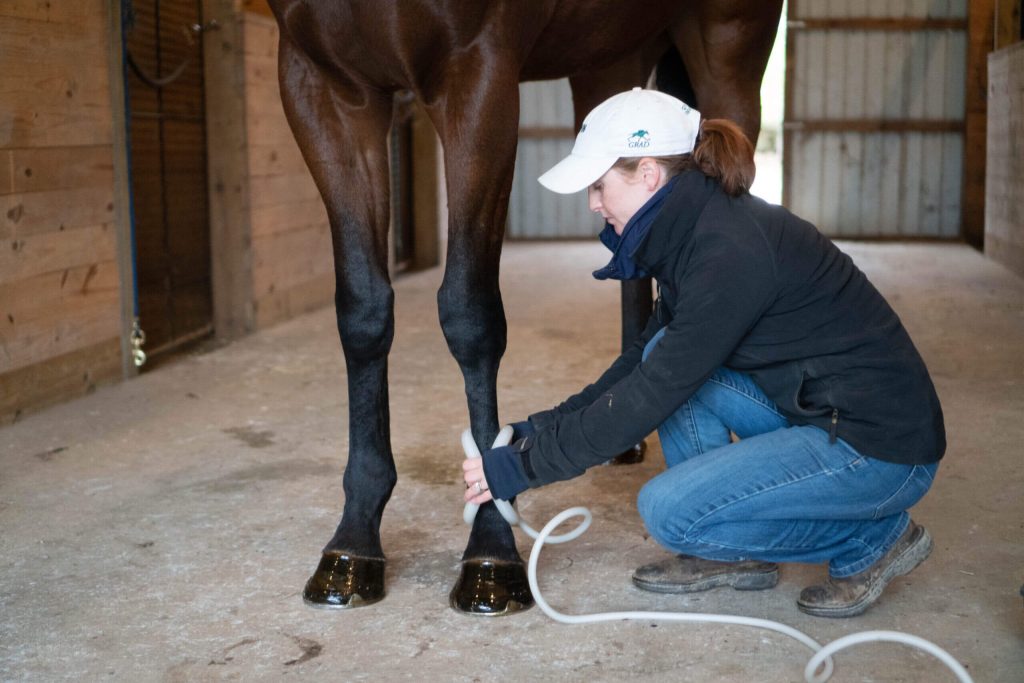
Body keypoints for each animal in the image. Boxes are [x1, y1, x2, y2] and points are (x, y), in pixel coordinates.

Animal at [266, 0, 783, 615]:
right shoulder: (323, 84)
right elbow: (364, 310)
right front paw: (352, 546)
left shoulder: (479, 72)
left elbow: (469, 313)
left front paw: (492, 552)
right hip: (612, 62)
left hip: (729, 44)